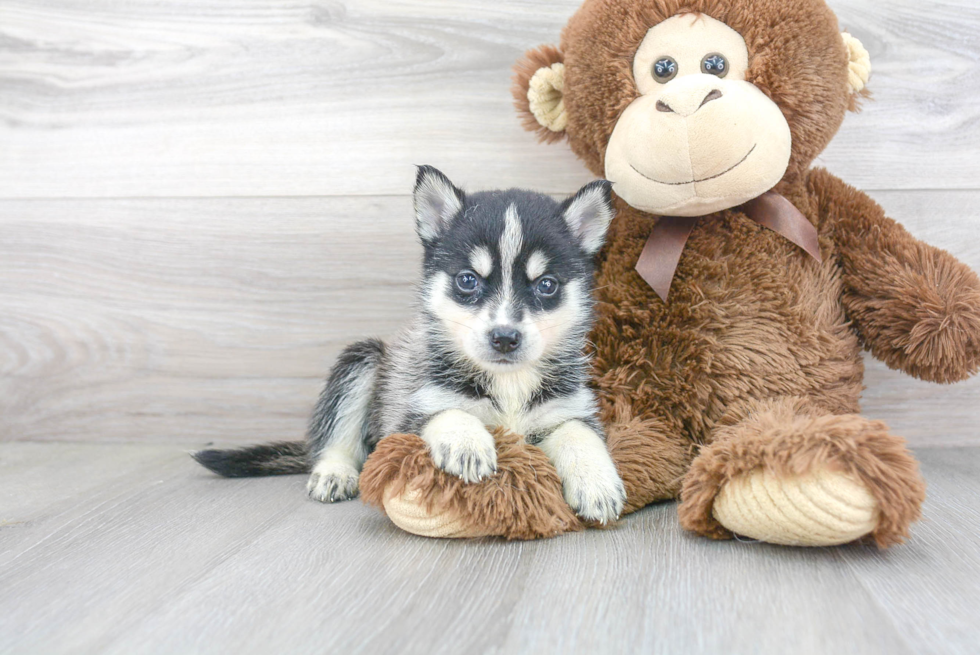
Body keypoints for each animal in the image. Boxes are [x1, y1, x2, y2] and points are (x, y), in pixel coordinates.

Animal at [196, 168, 628, 524]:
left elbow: (579, 435)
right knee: (335, 438)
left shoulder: (567, 410)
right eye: (468, 280)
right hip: (363, 359)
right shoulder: (409, 415)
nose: (505, 337)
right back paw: (334, 472)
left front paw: (596, 482)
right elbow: (447, 410)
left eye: (547, 285)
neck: (508, 383)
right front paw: (467, 441)